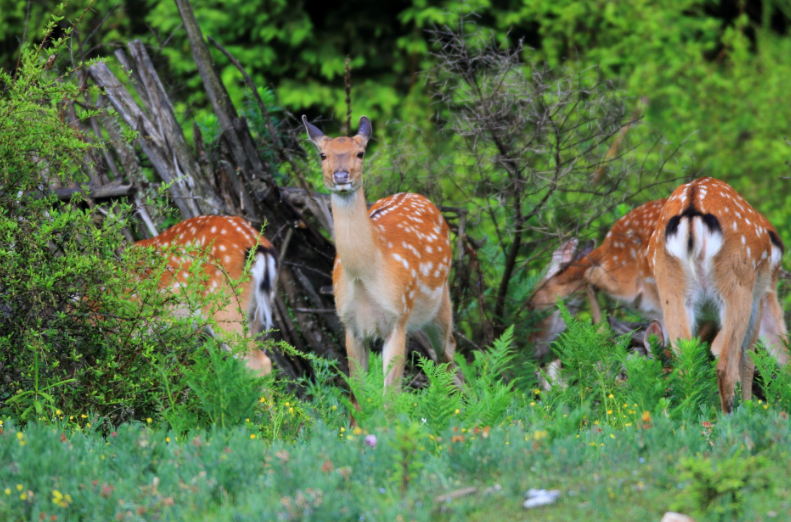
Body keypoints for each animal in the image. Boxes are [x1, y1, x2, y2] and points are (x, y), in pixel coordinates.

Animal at [304, 115, 458, 398]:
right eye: (322, 154)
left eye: (360, 153)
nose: (341, 175)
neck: (366, 276)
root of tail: (416, 194)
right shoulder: (350, 324)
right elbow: (358, 394)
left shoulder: (398, 317)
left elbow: (390, 398)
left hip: (440, 300)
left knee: (447, 352)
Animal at [648, 177, 784, 412]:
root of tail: (691, 210)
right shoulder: (757, 297)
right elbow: (748, 359)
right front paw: (750, 407)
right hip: (737, 287)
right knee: (728, 365)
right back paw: (732, 416)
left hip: (671, 290)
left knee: (685, 364)